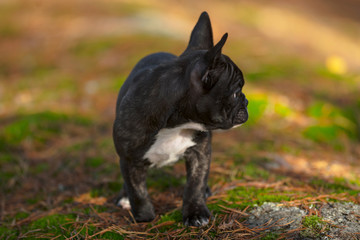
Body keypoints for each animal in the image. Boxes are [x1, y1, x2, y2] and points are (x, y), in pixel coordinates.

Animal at [112, 11, 248, 227]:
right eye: (236, 93)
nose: (247, 101)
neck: (176, 125)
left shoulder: (200, 153)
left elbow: (195, 185)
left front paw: (196, 213)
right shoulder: (129, 158)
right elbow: (138, 191)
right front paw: (144, 216)